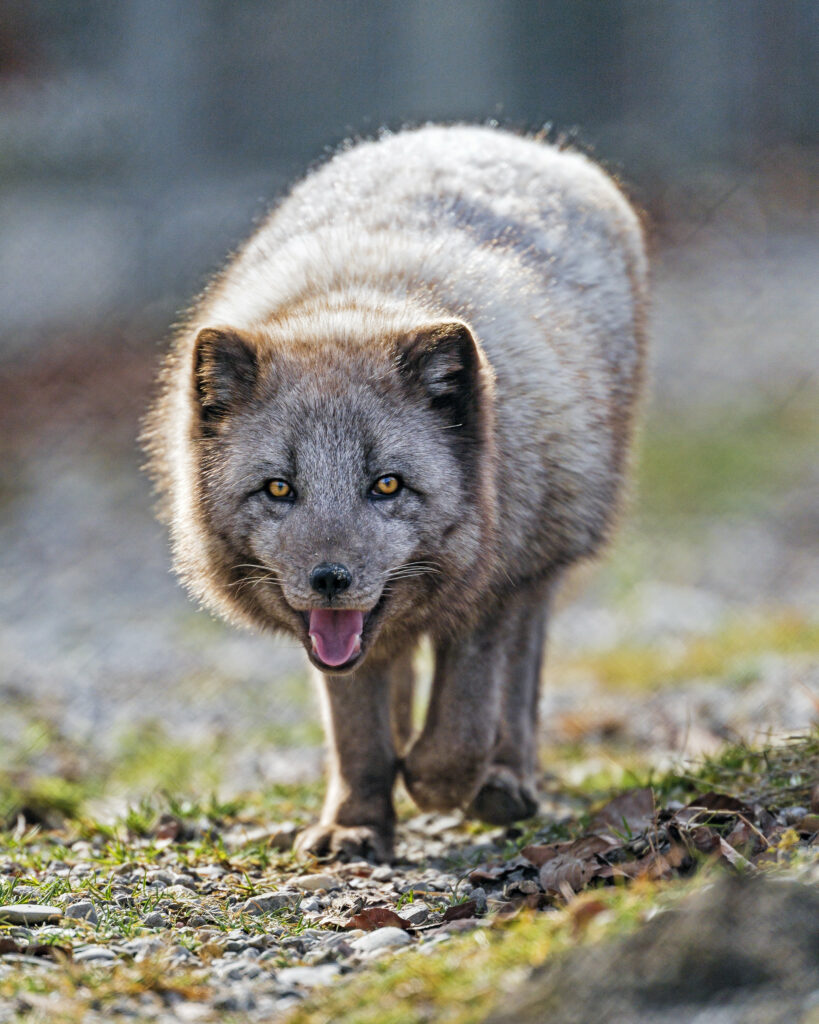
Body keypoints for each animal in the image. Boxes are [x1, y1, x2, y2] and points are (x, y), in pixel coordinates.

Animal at [143, 124, 648, 862]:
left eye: (386, 484)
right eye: (278, 487)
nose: (329, 580)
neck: (357, 304)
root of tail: (481, 133)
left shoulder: (492, 589)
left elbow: (460, 731)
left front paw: (437, 784)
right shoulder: (333, 639)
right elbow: (358, 734)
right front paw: (355, 823)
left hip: (544, 553)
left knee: (518, 685)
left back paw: (505, 781)